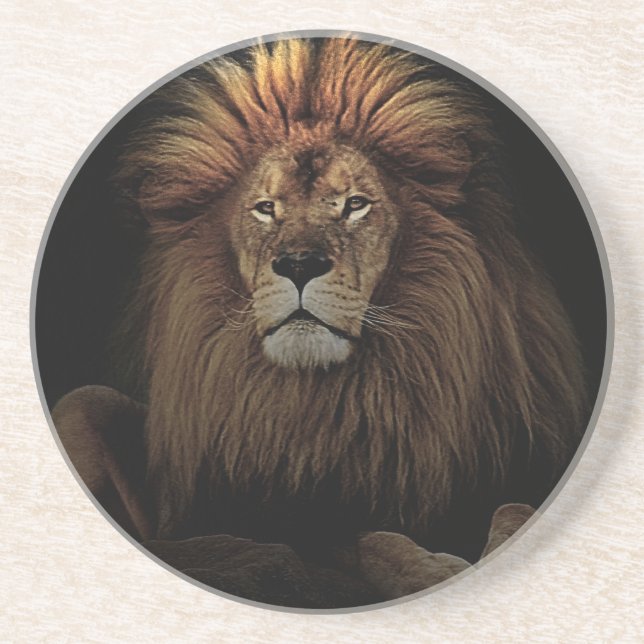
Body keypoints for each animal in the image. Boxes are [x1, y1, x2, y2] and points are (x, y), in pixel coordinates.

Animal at [51, 37, 589, 605]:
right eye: (266, 208)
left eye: (355, 205)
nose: (299, 265)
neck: (335, 400)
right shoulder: (296, 524)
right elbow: (372, 541)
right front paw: (434, 569)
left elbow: (516, 507)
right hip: (81, 402)